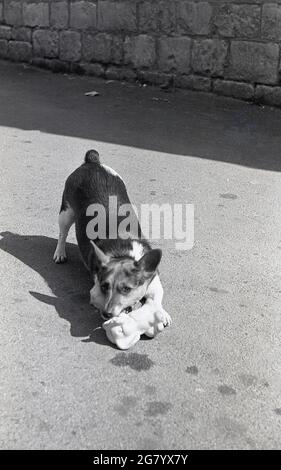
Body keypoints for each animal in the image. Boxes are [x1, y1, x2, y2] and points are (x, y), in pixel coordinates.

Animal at [52, 151, 171, 326]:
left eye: (126, 289)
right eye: (104, 287)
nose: (106, 314)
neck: (124, 253)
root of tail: (92, 162)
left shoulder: (154, 284)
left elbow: (155, 300)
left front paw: (161, 313)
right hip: (66, 213)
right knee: (62, 234)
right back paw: (60, 253)